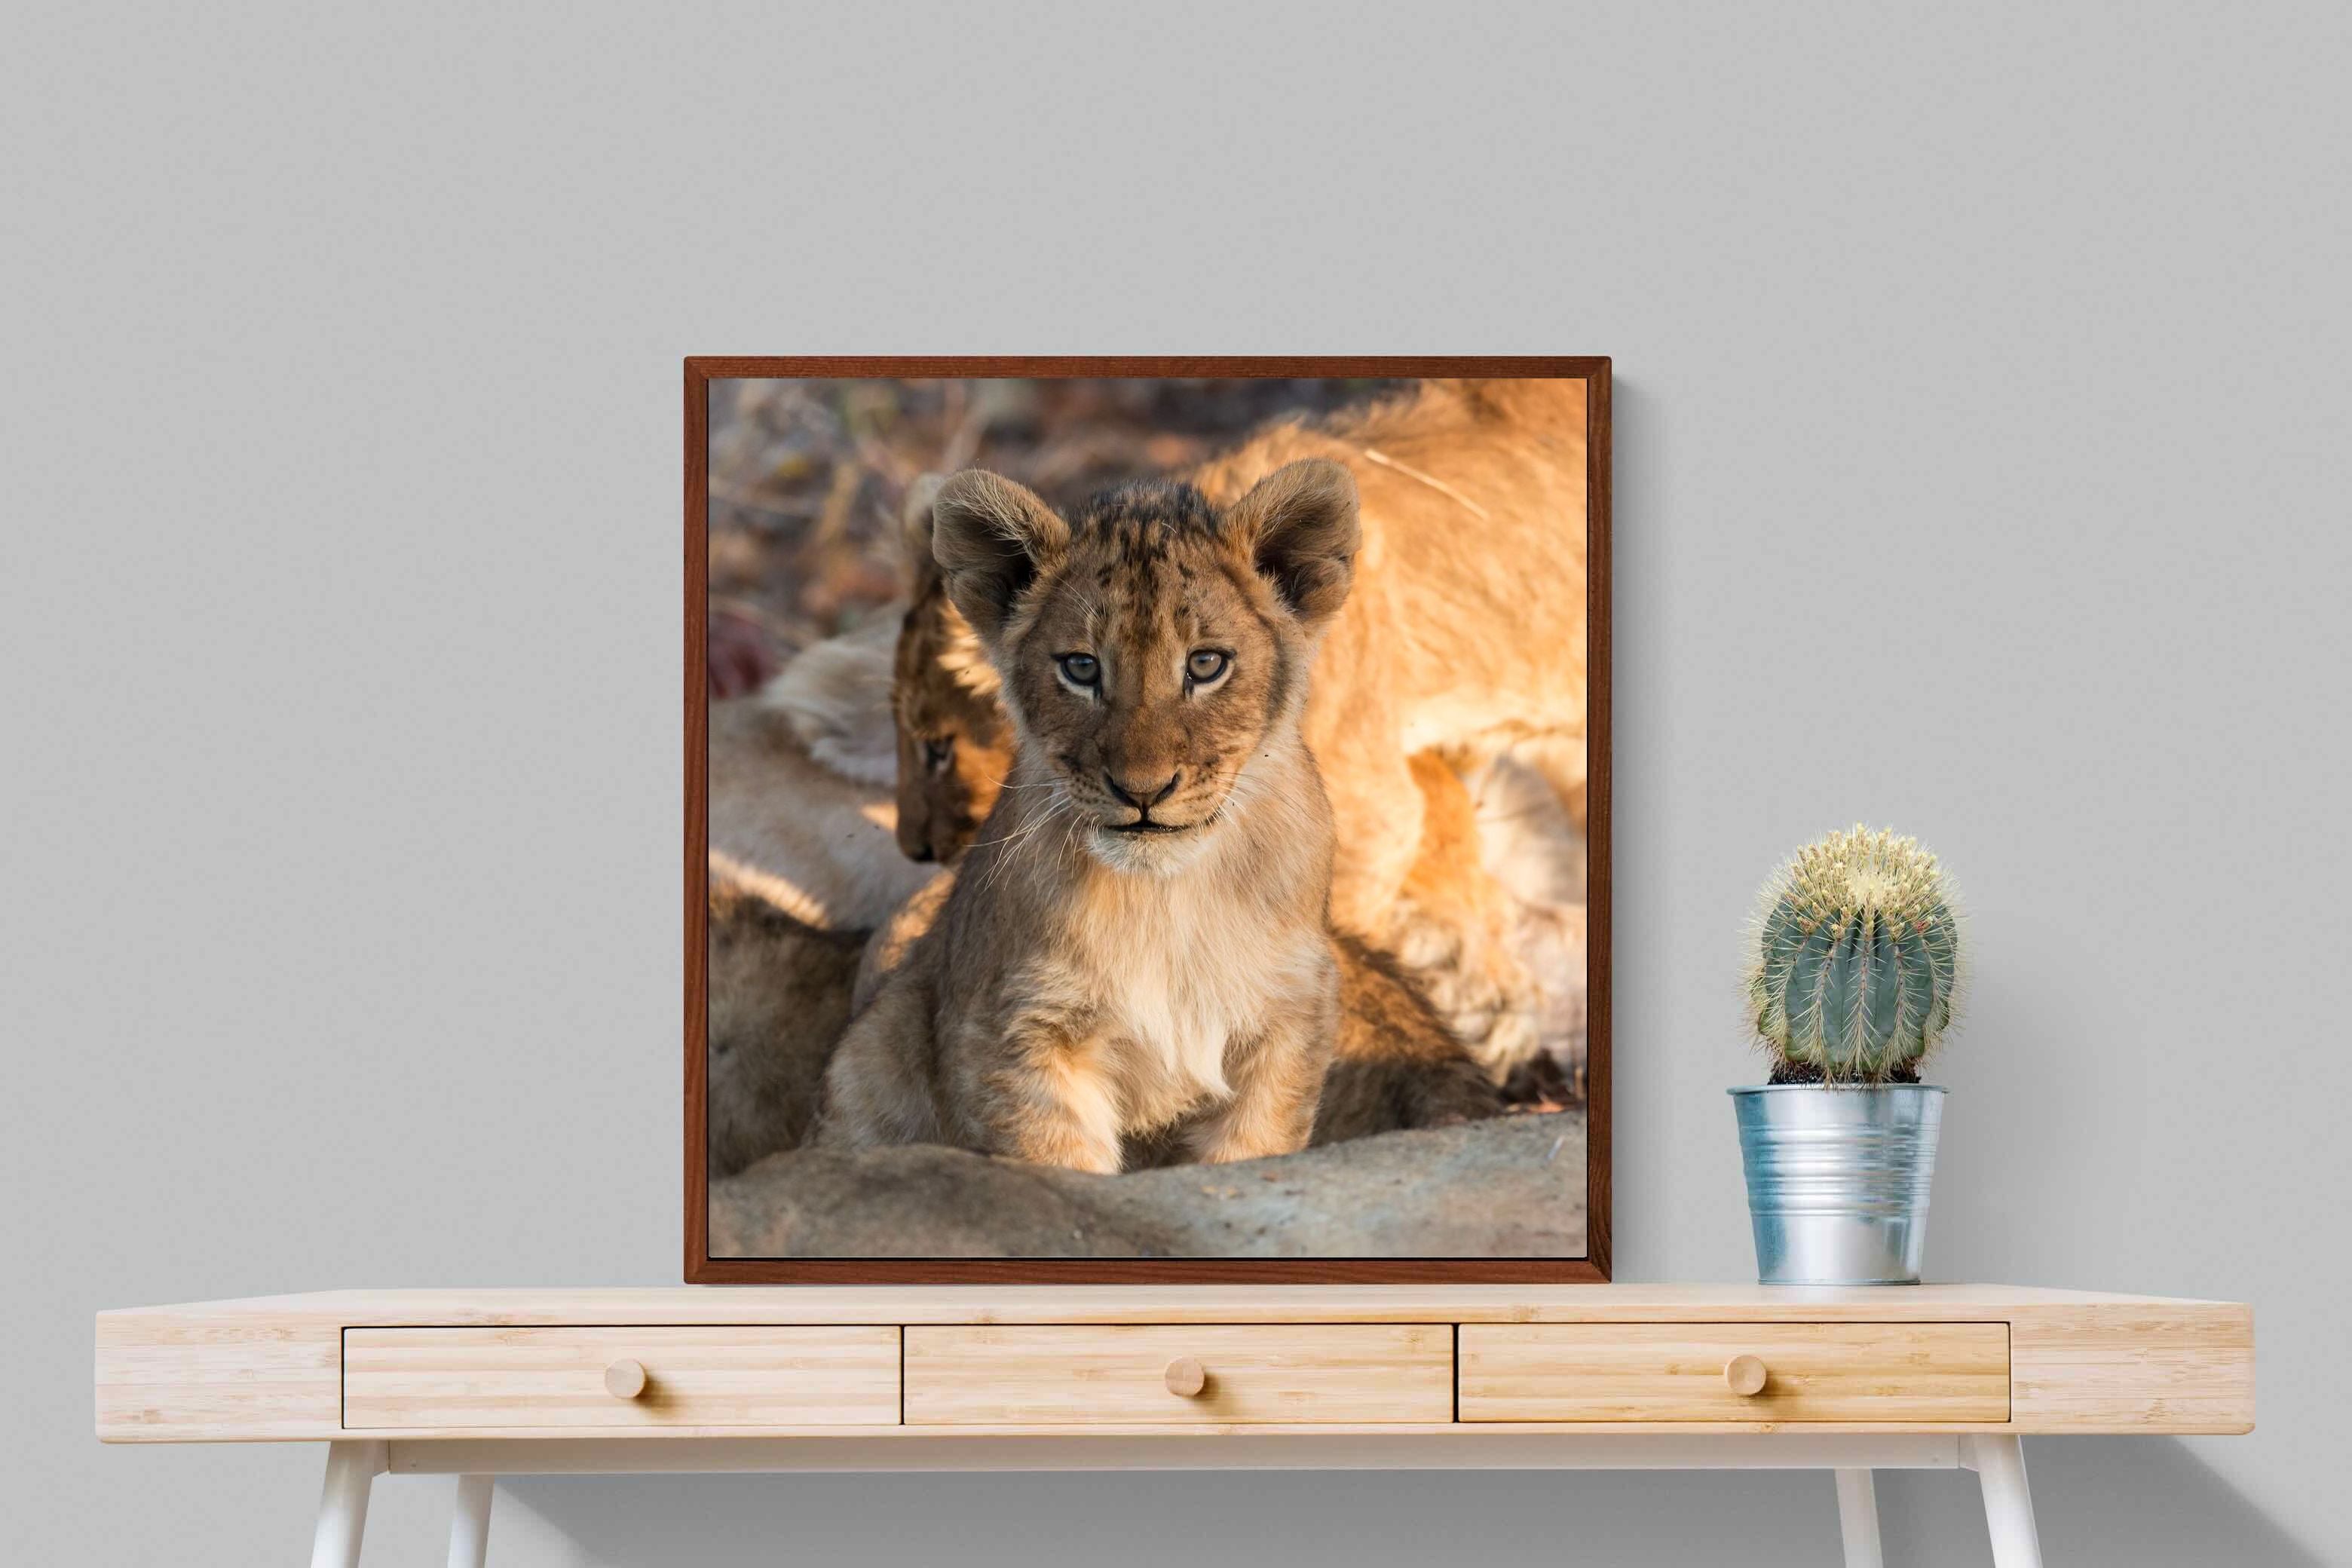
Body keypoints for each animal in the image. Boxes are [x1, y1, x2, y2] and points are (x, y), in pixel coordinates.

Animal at [819, 461, 1390, 1170]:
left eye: (1206, 664)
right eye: (1081, 668)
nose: (1143, 791)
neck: (1166, 900)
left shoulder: (1287, 1021)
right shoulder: (1017, 1031)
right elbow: (1058, 1166)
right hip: (875, 1050)